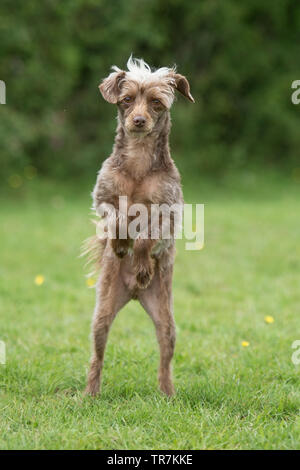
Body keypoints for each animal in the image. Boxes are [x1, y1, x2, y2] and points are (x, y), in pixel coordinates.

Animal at [85, 56, 195, 396]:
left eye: (157, 103)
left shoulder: (169, 215)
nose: (138, 120)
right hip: (102, 315)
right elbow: (119, 219)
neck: (138, 161)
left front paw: (143, 265)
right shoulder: (103, 199)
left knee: (165, 356)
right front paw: (121, 244)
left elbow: (148, 236)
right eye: (127, 99)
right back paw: (89, 394)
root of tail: (133, 295)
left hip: (166, 319)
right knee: (97, 355)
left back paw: (167, 394)